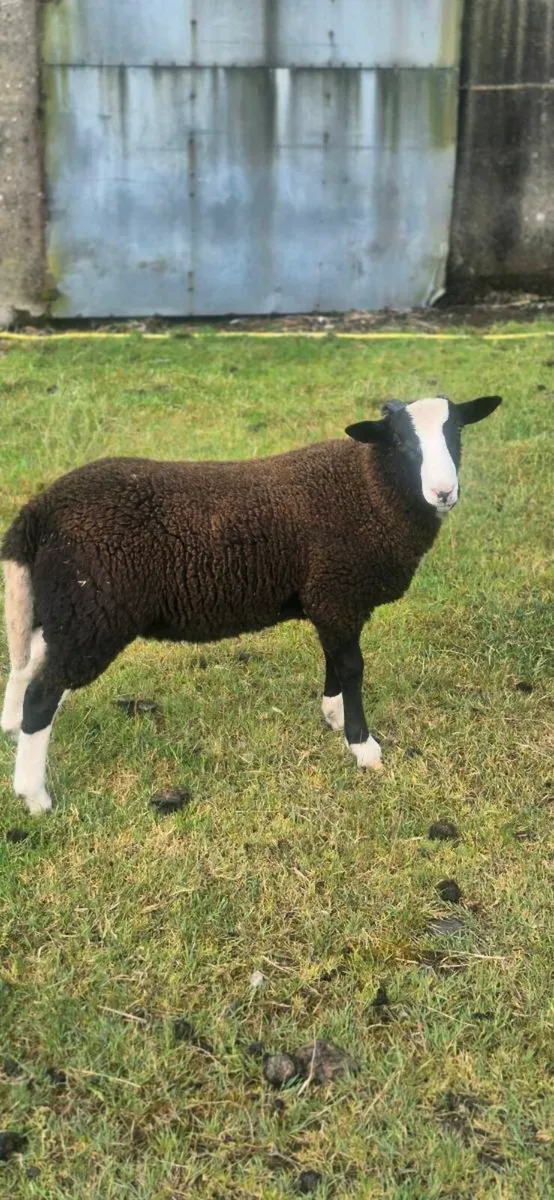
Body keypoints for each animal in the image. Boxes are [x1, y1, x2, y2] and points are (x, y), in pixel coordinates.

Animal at [1, 393, 501, 814]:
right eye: (400, 440)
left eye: (456, 431)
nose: (444, 492)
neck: (370, 487)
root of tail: (39, 509)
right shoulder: (337, 591)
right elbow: (352, 666)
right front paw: (362, 746)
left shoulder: (329, 596)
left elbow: (335, 659)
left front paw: (333, 714)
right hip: (94, 611)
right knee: (42, 695)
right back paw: (34, 796)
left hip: (67, 608)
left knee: (30, 667)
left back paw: (13, 728)